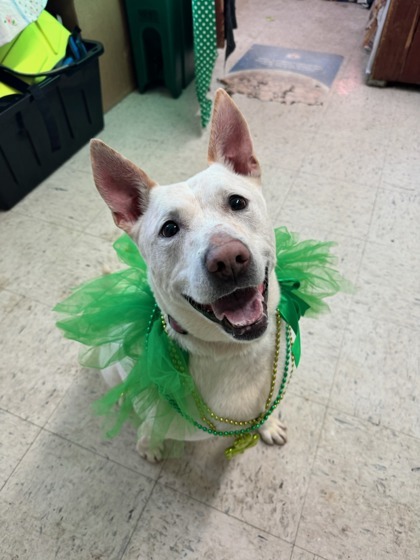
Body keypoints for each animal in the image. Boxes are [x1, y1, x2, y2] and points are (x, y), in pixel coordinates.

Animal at [90, 89, 288, 462]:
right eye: (169, 229)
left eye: (237, 202)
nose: (228, 260)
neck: (229, 352)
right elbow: (149, 425)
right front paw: (149, 445)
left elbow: (267, 403)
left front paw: (268, 425)